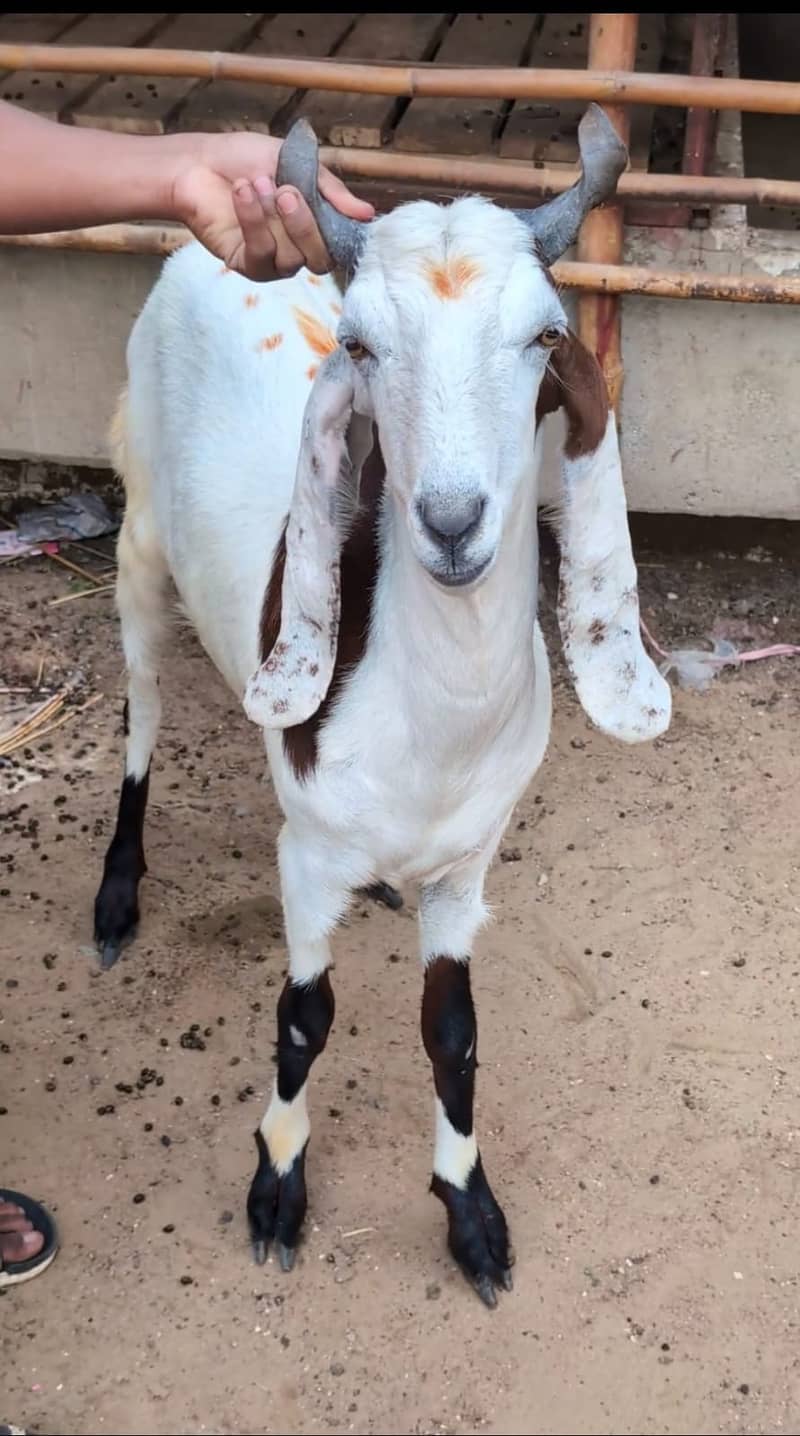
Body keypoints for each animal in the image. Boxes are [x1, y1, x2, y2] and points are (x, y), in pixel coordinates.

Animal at [93, 106, 671, 1307]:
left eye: (545, 336)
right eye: (358, 346)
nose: (451, 521)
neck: (432, 731)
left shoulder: (466, 870)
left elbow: (451, 1031)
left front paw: (470, 1211)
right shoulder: (307, 858)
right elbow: (302, 1019)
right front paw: (277, 1185)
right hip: (138, 543)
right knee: (142, 706)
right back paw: (117, 892)